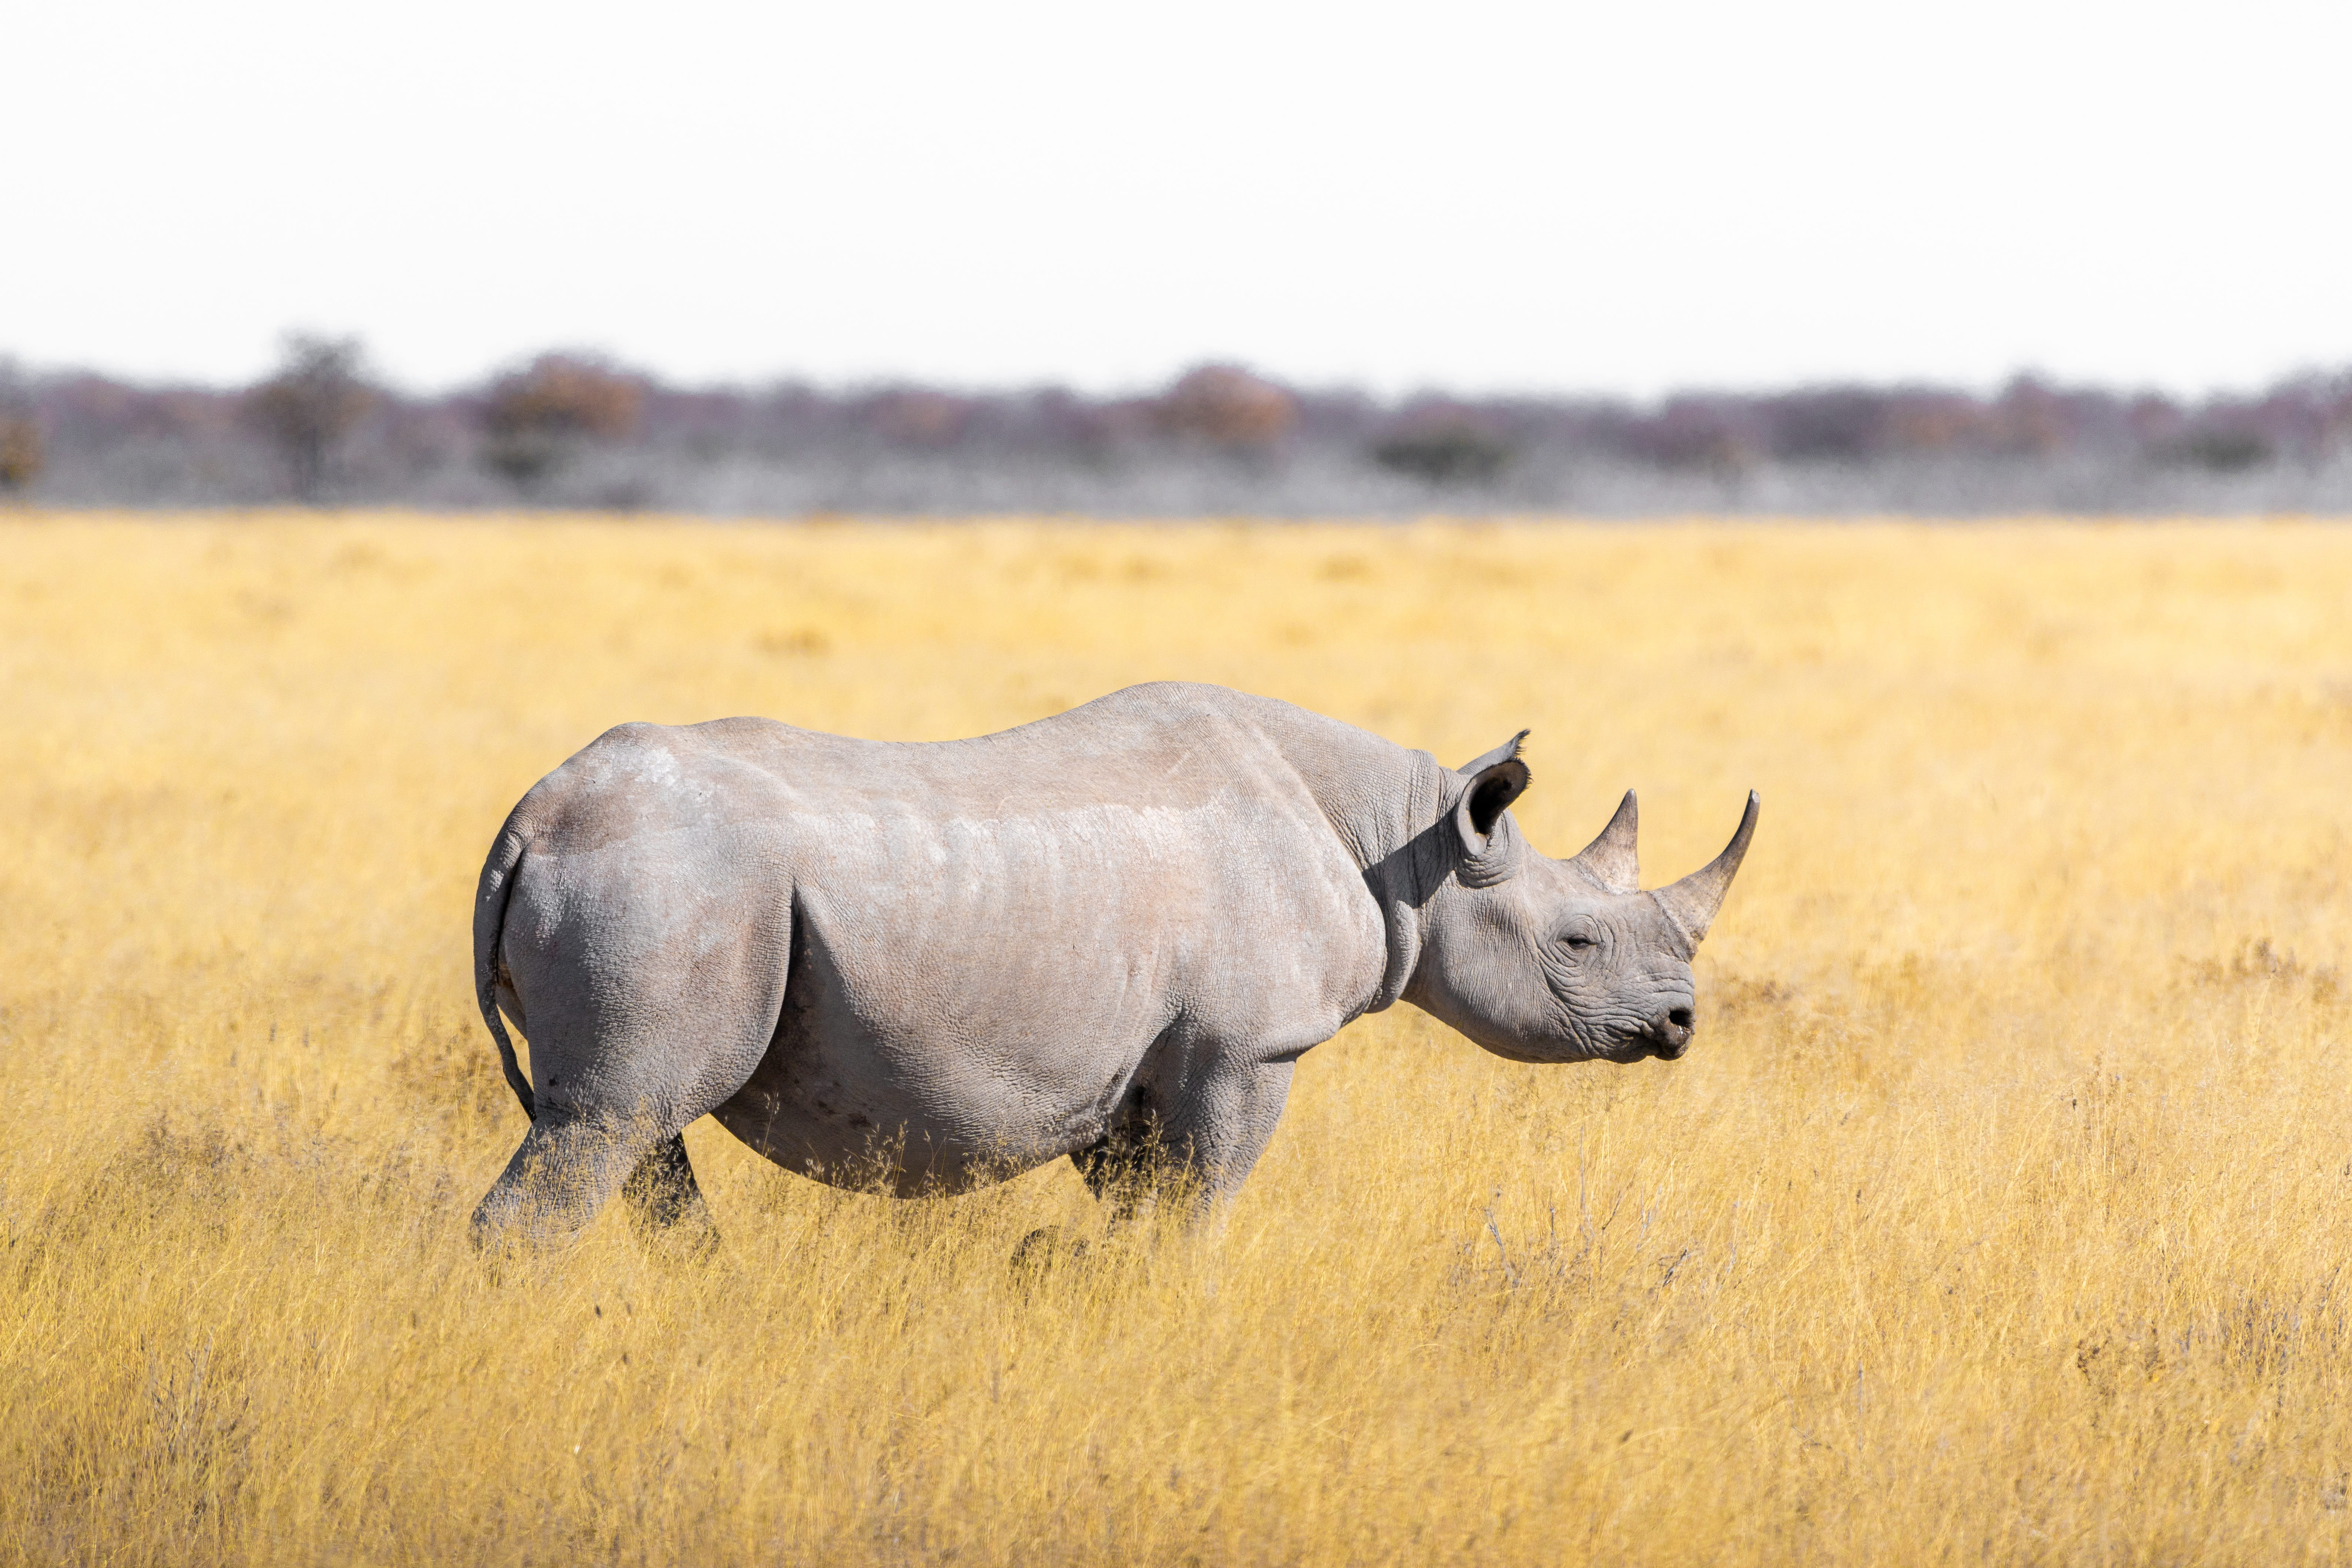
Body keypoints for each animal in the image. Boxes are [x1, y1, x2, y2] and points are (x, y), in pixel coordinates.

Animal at [470, 682, 1757, 1247]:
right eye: (1578, 943)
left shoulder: (1141, 1060)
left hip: (673, 888)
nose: (1682, 1024)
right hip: (671, 883)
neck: (1414, 841)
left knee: (634, 1129)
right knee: (606, 1122)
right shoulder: (1247, 1047)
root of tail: (532, 818)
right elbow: (1201, 1211)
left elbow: (1142, 1214)